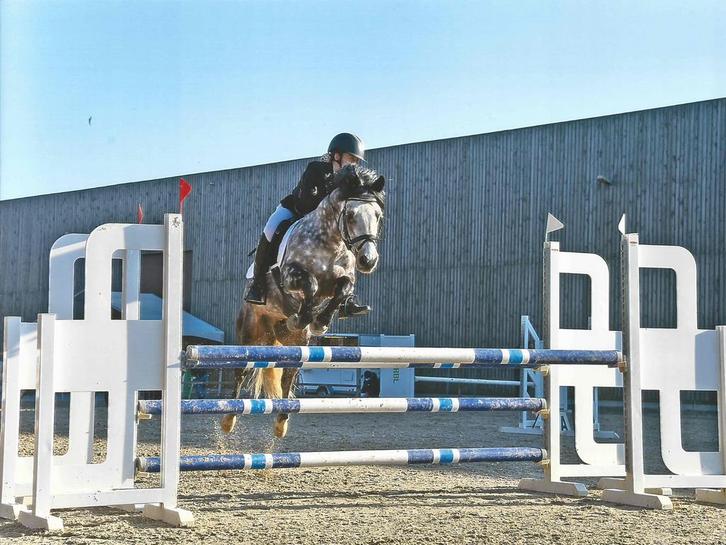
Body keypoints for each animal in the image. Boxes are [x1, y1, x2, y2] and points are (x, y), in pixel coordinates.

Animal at [221, 165, 385, 438]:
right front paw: (304, 317)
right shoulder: (290, 275)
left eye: (378, 216)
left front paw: (320, 320)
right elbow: (310, 285)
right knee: (242, 370)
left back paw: (281, 422)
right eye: (351, 215)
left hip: (297, 343)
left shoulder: (343, 280)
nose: (368, 260)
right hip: (250, 333)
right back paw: (228, 420)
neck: (331, 242)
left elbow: (342, 289)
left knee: (289, 374)